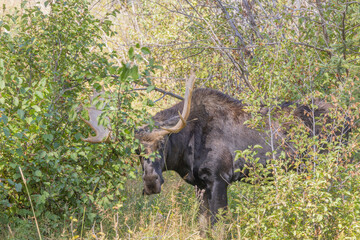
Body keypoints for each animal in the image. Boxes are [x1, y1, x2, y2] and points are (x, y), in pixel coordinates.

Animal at [80, 73, 348, 227]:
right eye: (135, 150)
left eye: (163, 143)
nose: (151, 181)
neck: (186, 152)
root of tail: (347, 119)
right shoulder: (200, 185)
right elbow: (203, 226)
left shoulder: (220, 179)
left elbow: (220, 226)